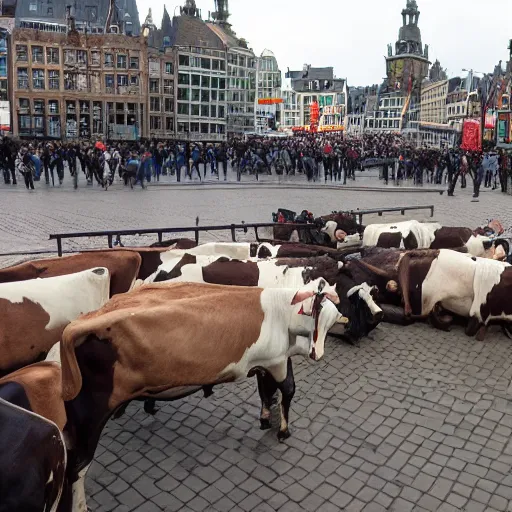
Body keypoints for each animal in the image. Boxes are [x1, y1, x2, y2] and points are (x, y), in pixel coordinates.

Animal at [59, 280, 340, 500]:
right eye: (319, 316)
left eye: (332, 321)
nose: (318, 354)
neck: (282, 313)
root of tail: (82, 323)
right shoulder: (278, 361)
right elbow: (288, 390)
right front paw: (283, 431)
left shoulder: (266, 363)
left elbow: (265, 392)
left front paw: (265, 418)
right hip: (91, 417)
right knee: (77, 470)